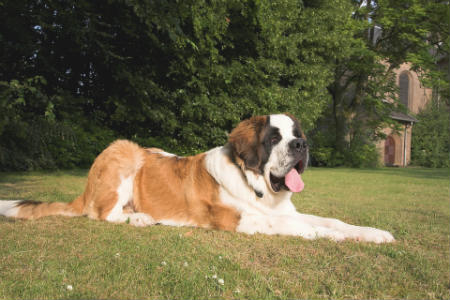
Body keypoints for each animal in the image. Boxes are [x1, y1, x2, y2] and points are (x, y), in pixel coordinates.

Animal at [0, 113, 394, 243]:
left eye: (297, 134)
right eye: (273, 138)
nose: (302, 145)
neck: (255, 186)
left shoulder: (281, 212)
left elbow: (331, 220)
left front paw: (374, 233)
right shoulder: (239, 220)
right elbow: (307, 228)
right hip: (125, 150)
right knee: (101, 214)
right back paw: (139, 218)